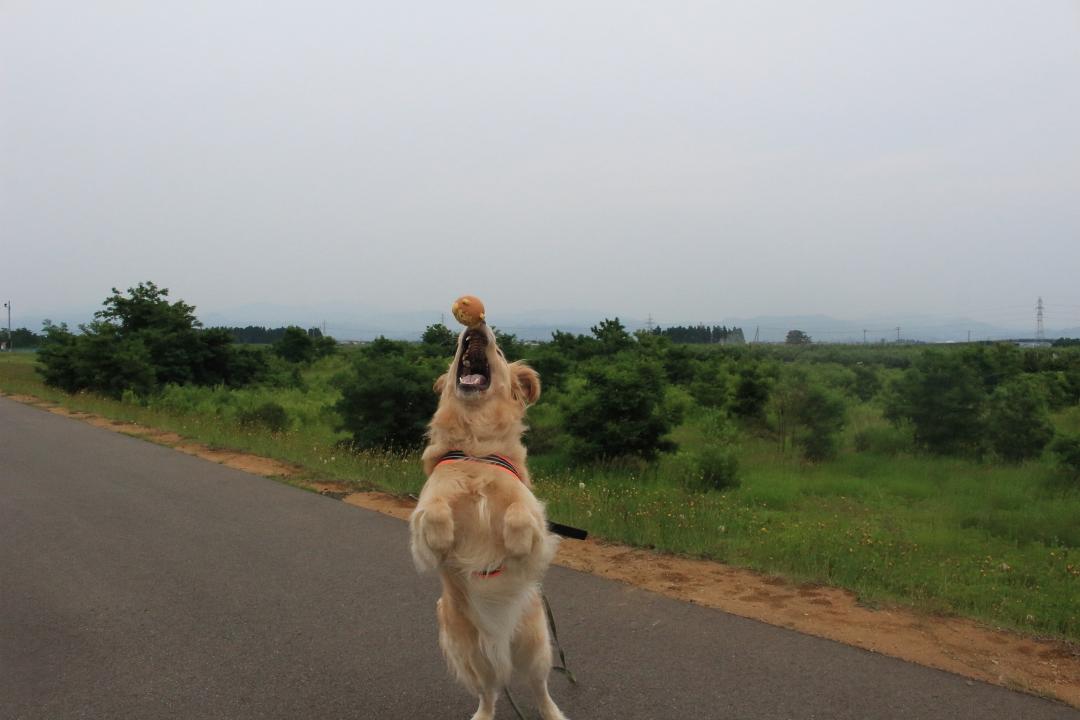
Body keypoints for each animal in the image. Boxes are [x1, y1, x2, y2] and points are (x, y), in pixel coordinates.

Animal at [408, 325, 570, 720]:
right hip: (468, 651)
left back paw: (552, 713)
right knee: (488, 692)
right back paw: (482, 714)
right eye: (455, 348)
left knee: (539, 687)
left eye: (498, 350)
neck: (475, 447)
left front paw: (515, 541)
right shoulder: (424, 509)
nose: (476, 328)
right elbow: (433, 510)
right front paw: (443, 535)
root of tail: (499, 643)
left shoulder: (533, 512)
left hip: (536, 644)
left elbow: (520, 513)